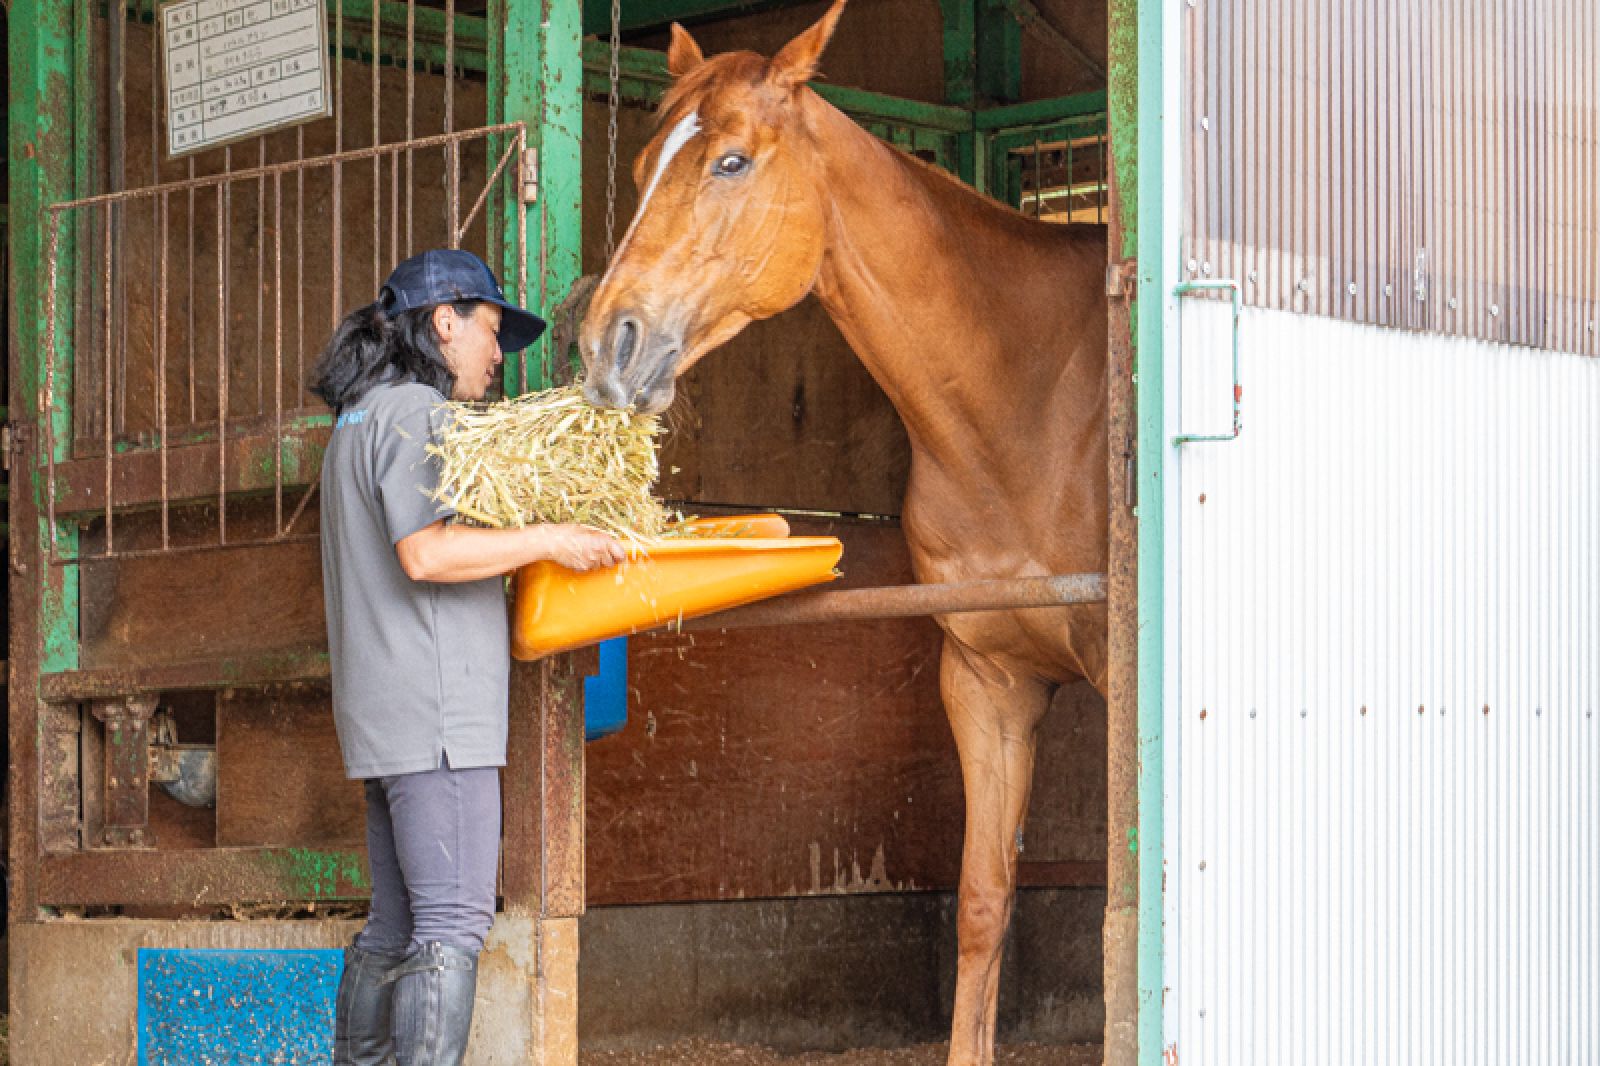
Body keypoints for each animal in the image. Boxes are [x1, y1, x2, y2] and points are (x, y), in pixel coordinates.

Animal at [582, 4, 1107, 1056]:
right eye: (643, 164)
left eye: (732, 160)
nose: (607, 343)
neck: (1034, 401)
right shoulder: (989, 684)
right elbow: (983, 901)